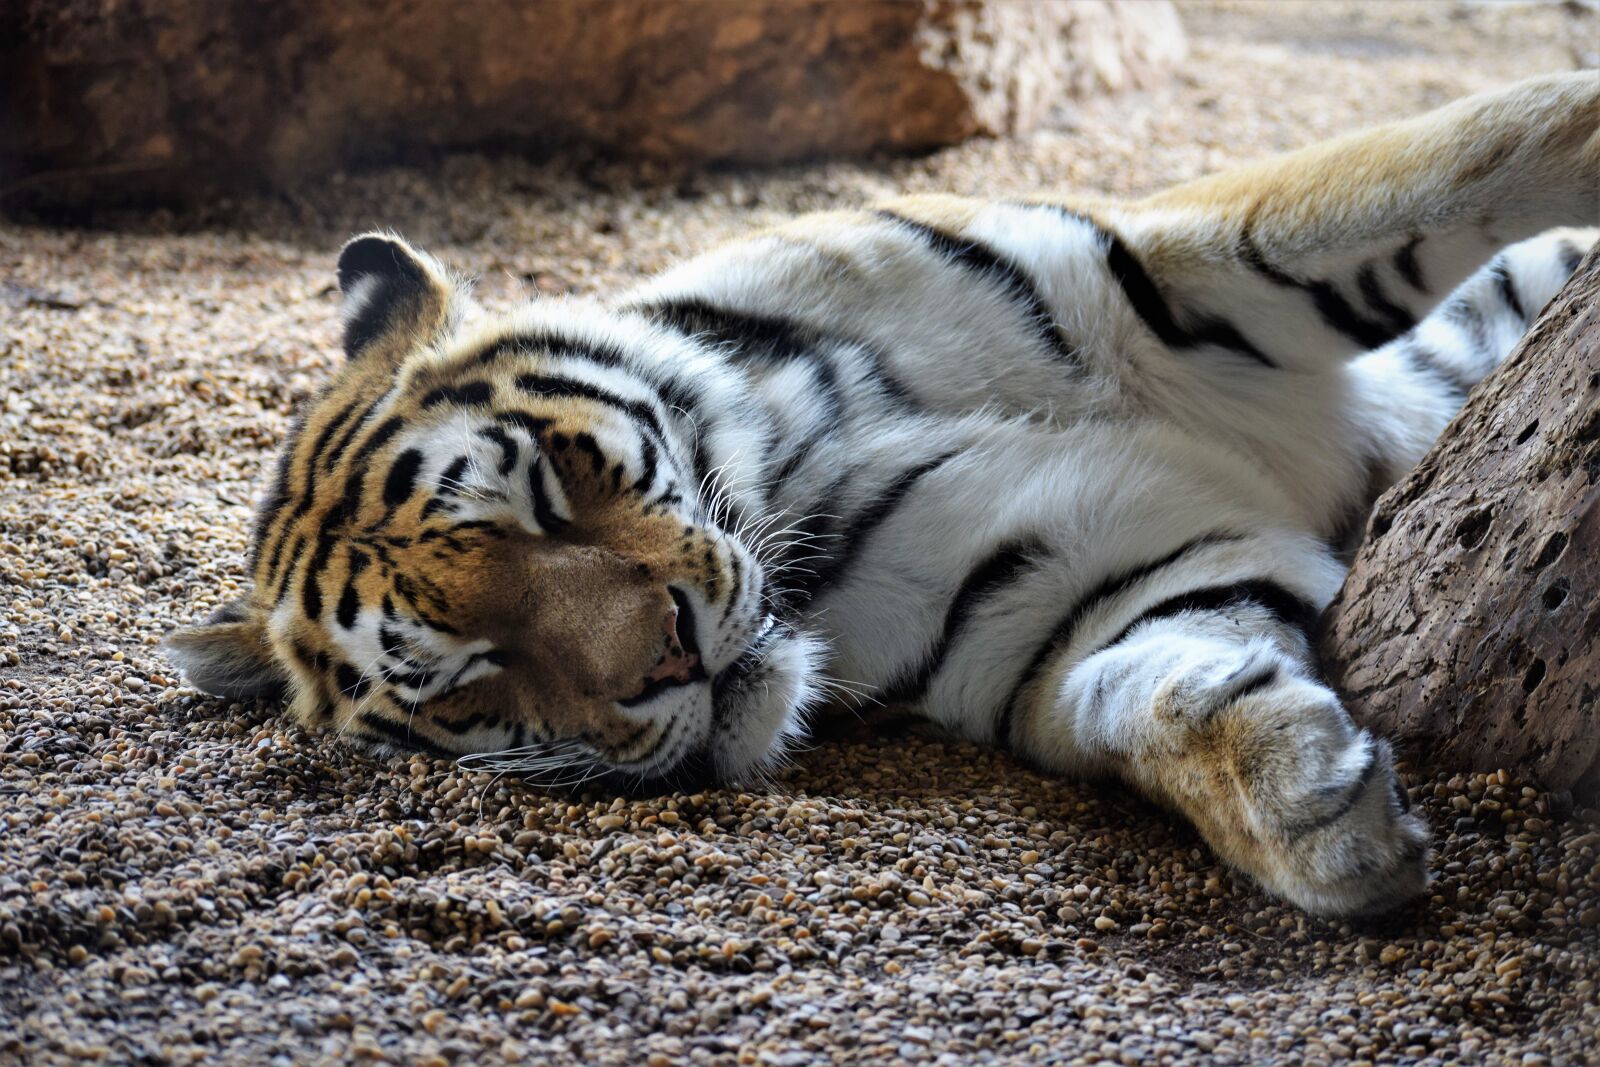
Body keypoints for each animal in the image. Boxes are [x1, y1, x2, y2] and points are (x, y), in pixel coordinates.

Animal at [167, 73, 1599, 917]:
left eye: (552, 495)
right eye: (472, 675)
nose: (668, 658)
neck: (800, 451)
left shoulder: (1170, 262)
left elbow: (1473, 146)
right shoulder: (1066, 596)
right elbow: (1156, 690)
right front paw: (1313, 816)